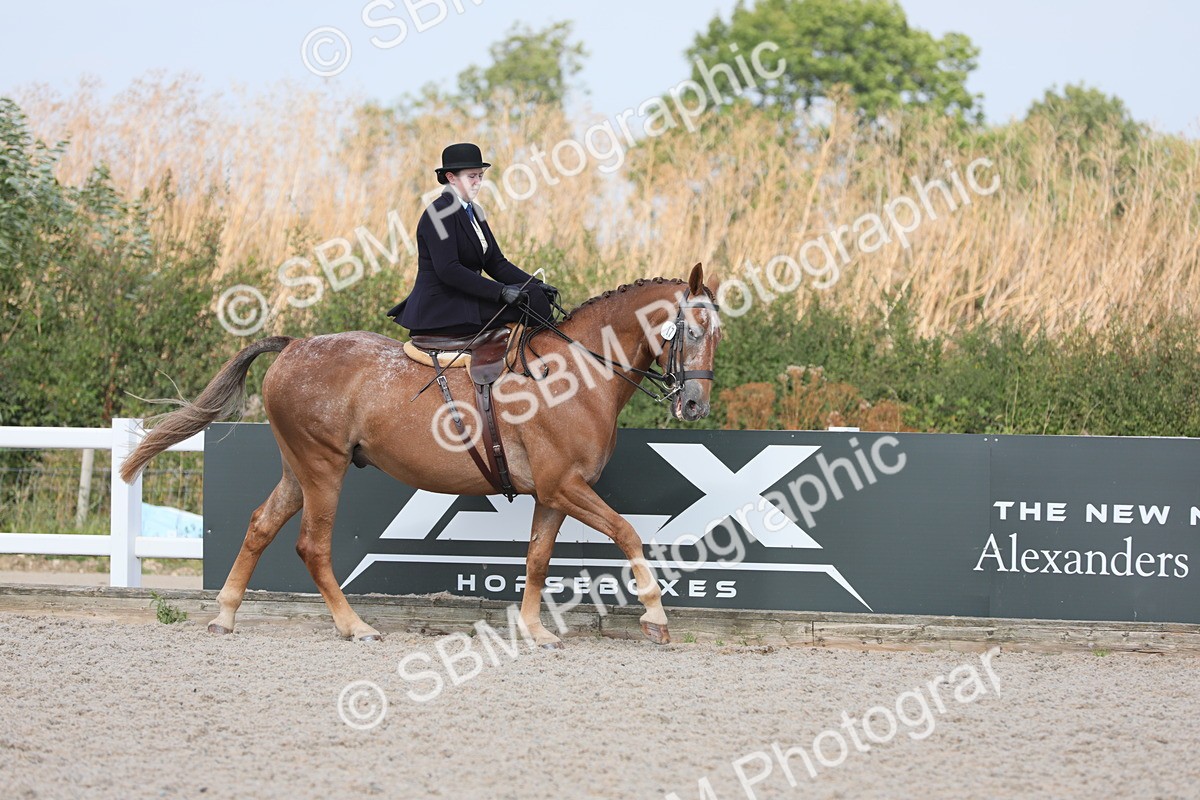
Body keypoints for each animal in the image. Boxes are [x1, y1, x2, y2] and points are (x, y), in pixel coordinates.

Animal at [121, 264, 722, 647]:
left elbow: (537, 559)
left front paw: (533, 631)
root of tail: (294, 345)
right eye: (691, 330)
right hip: (323, 469)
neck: (577, 372)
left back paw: (224, 617)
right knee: (312, 546)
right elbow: (628, 532)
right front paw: (656, 618)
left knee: (260, 526)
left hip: (299, 468)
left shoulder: (553, 493)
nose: (694, 403)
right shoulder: (566, 487)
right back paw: (354, 627)